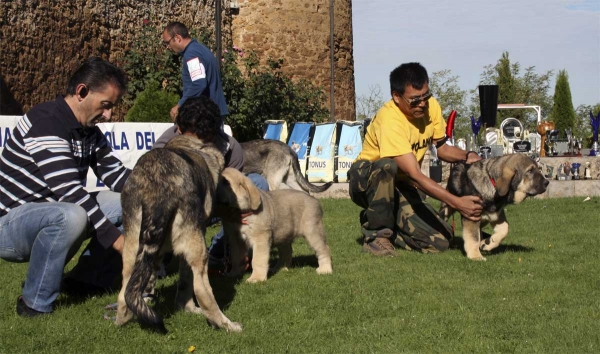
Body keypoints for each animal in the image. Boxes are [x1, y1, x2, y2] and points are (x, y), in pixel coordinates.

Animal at [115, 136, 241, 332]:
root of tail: (155, 191)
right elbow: (186, 282)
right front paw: (189, 308)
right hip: (198, 251)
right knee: (202, 291)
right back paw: (226, 324)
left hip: (131, 247)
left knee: (124, 292)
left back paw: (121, 321)